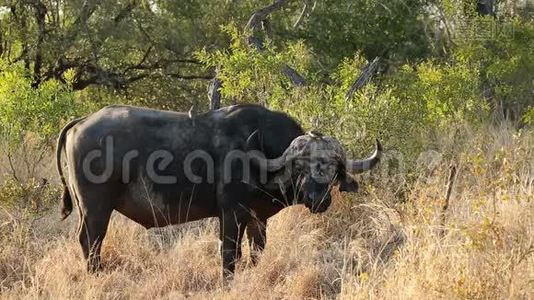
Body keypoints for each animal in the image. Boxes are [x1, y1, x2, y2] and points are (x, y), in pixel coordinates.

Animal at [56, 104, 384, 278]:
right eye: (300, 166)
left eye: (332, 168)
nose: (319, 200)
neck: (258, 154)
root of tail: (82, 121)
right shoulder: (231, 215)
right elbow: (229, 255)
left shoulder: (257, 219)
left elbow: (256, 252)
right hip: (96, 209)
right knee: (91, 241)